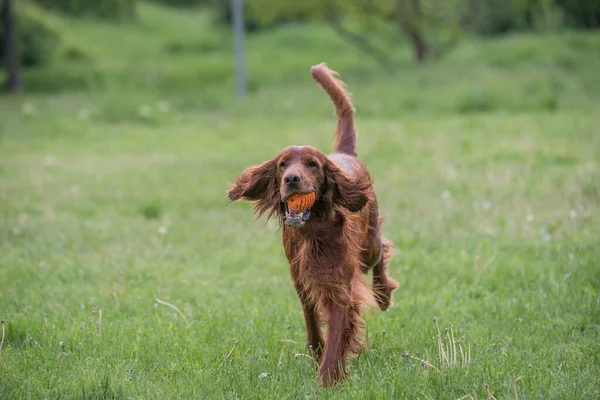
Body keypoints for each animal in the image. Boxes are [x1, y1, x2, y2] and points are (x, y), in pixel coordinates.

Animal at [226, 63, 398, 388]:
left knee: (380, 249)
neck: (313, 232)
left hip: (367, 245)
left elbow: (338, 332)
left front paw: (329, 378)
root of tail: (345, 154)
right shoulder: (301, 279)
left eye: (312, 164)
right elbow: (312, 321)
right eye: (282, 164)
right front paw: (319, 354)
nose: (291, 179)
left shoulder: (341, 287)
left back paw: (383, 294)